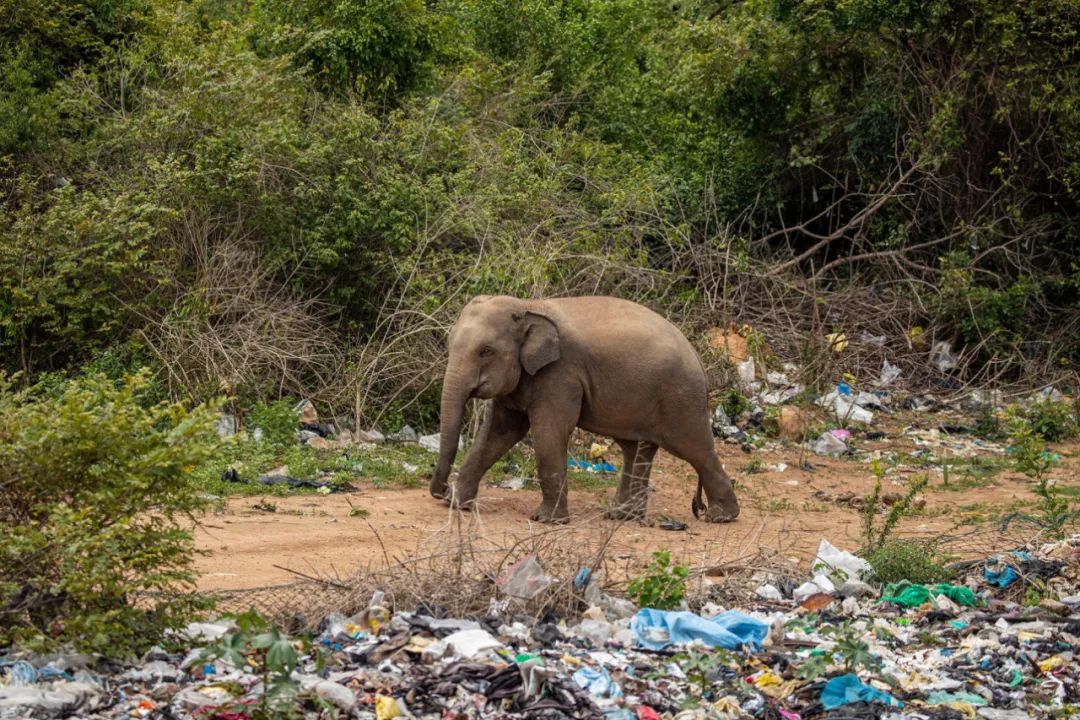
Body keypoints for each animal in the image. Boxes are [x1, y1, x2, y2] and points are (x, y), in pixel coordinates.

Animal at [429, 293, 743, 524]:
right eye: (449, 344)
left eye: (485, 351)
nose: (441, 491)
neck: (529, 306)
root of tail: (698, 358)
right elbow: (499, 433)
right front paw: (457, 504)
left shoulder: (561, 374)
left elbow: (548, 433)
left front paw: (546, 520)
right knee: (636, 449)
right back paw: (621, 516)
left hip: (680, 398)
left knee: (695, 449)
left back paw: (721, 517)